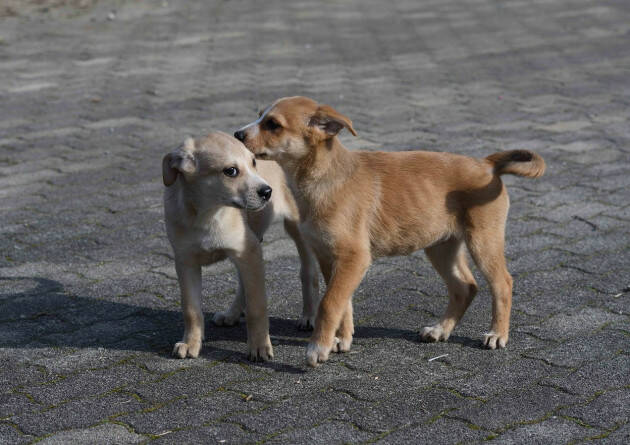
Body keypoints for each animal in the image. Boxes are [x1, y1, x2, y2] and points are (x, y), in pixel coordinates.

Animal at [164, 130, 320, 360]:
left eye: (254, 162)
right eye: (231, 171)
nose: (267, 192)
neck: (208, 215)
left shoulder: (250, 252)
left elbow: (257, 307)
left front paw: (259, 346)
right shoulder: (185, 262)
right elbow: (191, 309)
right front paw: (191, 343)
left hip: (297, 227)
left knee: (308, 271)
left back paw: (309, 315)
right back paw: (232, 314)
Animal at [235, 96, 544, 364]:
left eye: (273, 124)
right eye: (260, 115)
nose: (237, 134)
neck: (322, 179)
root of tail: (487, 164)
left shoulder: (354, 257)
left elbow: (329, 303)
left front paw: (317, 348)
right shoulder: (329, 257)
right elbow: (343, 303)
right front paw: (342, 340)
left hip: (483, 240)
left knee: (502, 283)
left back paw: (497, 334)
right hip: (441, 246)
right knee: (465, 287)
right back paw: (440, 330)